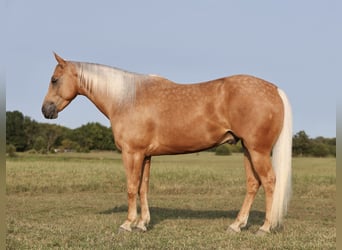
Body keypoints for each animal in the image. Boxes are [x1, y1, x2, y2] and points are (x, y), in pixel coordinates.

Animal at [41, 52, 292, 234]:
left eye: (54, 80)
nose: (46, 110)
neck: (126, 99)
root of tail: (274, 89)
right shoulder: (145, 154)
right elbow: (143, 187)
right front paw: (142, 224)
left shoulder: (132, 153)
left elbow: (131, 187)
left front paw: (127, 224)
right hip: (248, 149)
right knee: (253, 184)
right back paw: (236, 225)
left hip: (258, 151)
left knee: (269, 181)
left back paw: (265, 228)